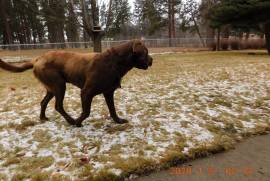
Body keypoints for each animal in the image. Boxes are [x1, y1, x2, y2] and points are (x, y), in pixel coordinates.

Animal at [0, 40, 152, 126]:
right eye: (145, 52)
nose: (152, 60)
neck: (114, 63)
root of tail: (37, 59)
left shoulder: (108, 92)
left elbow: (113, 110)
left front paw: (118, 121)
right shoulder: (86, 92)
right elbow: (86, 112)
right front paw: (78, 122)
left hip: (52, 88)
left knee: (43, 102)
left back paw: (43, 117)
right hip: (59, 85)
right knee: (58, 106)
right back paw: (71, 121)